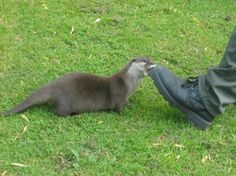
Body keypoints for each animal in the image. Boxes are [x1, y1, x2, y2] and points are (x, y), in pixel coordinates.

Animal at [0, 57, 157, 116]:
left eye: (150, 59)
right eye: (145, 60)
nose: (153, 62)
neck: (129, 83)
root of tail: (54, 85)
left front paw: (130, 105)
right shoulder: (119, 94)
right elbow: (118, 108)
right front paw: (126, 113)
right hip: (65, 102)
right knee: (59, 113)